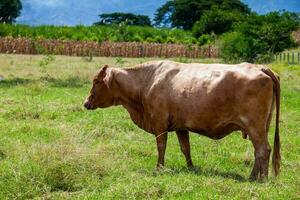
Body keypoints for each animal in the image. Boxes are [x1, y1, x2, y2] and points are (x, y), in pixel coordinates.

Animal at [83, 60, 280, 180]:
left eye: (96, 81)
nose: (85, 103)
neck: (148, 80)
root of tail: (260, 67)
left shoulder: (159, 123)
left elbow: (161, 146)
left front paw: (159, 168)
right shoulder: (180, 126)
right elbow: (186, 148)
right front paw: (191, 167)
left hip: (255, 126)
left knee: (264, 150)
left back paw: (261, 179)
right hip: (261, 127)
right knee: (258, 151)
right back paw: (253, 176)